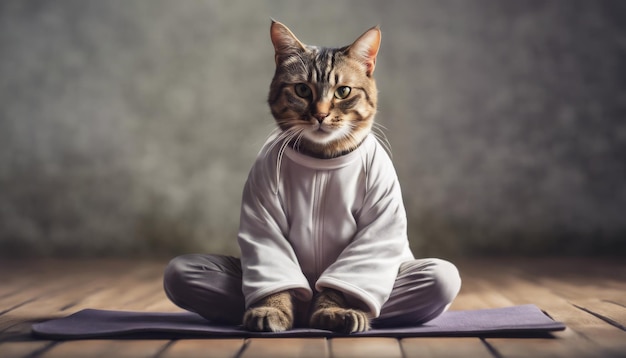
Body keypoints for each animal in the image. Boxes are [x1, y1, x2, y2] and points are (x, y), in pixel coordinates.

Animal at [241, 21, 382, 334]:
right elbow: (274, 269)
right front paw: (271, 309)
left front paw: (333, 312)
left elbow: (339, 283)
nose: (320, 115)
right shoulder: (261, 208)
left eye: (343, 91)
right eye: (303, 89)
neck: (321, 159)